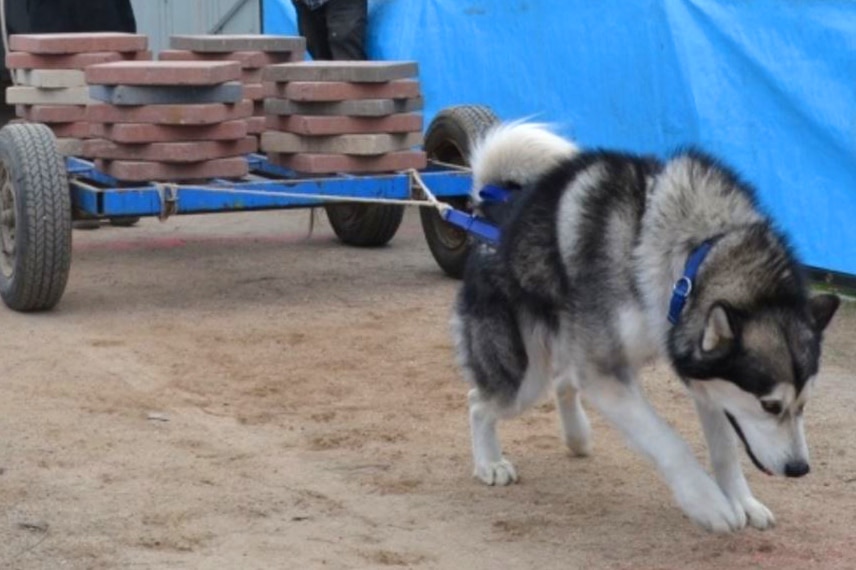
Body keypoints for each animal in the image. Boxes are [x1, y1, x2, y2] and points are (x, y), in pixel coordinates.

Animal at [454, 122, 844, 532]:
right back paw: (489, 463)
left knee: (564, 381)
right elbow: (668, 441)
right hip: (525, 380)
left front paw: (743, 501)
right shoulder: (607, 374)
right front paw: (708, 503)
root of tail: (490, 211)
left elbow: (725, 449)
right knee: (479, 402)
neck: (693, 257)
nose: (799, 469)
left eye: (804, 403)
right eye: (770, 405)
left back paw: (577, 438)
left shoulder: (697, 372)